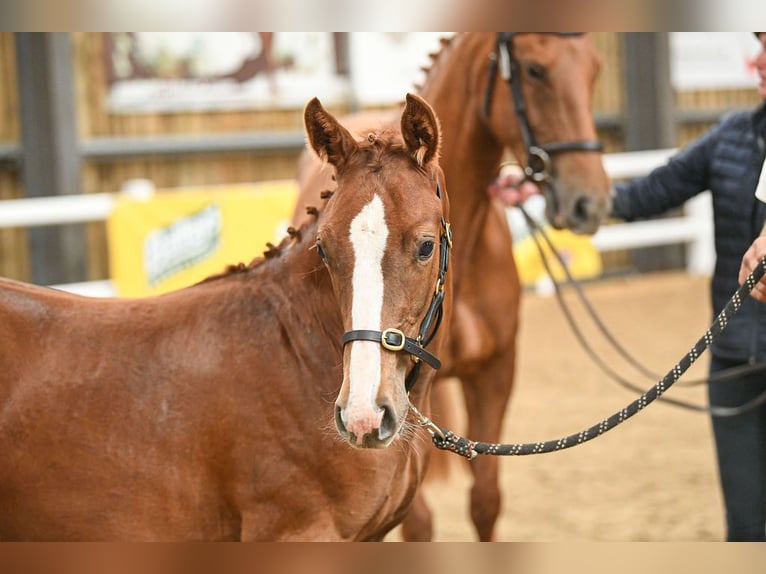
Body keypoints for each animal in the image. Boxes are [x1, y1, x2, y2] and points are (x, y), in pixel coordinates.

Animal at [292, 33, 612, 541]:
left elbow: (486, 500)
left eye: (594, 69)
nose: (590, 203)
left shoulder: (494, 373)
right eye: (535, 71)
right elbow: (418, 521)